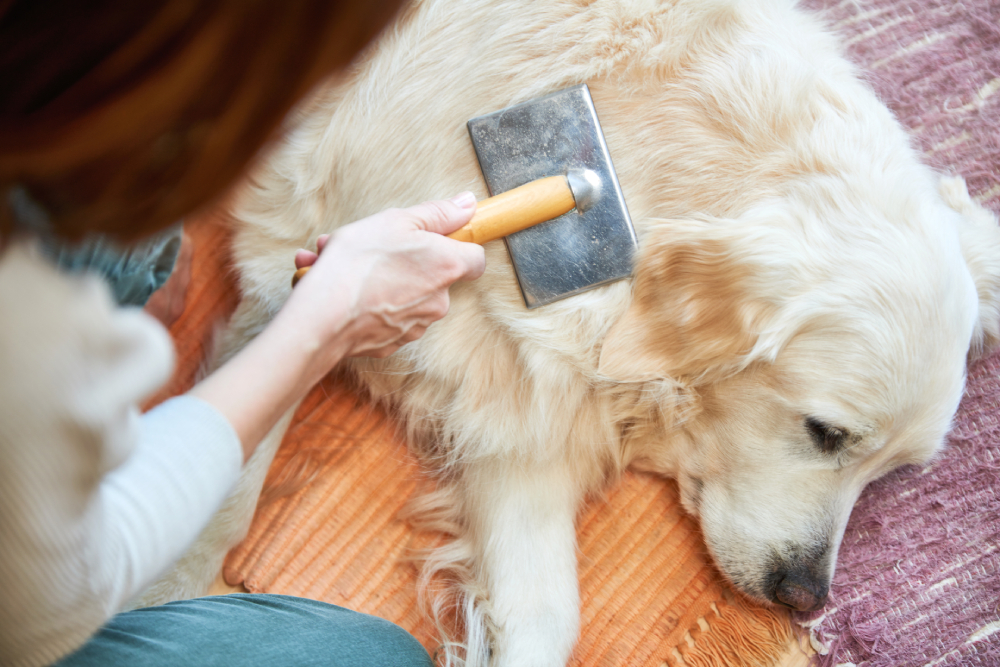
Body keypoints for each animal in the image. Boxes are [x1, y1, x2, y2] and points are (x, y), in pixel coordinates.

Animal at [139, 0, 1000, 664]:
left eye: (894, 471)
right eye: (826, 432)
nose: (803, 596)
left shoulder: (518, 410)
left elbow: (547, 616)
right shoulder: (290, 256)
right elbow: (227, 488)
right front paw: (165, 591)